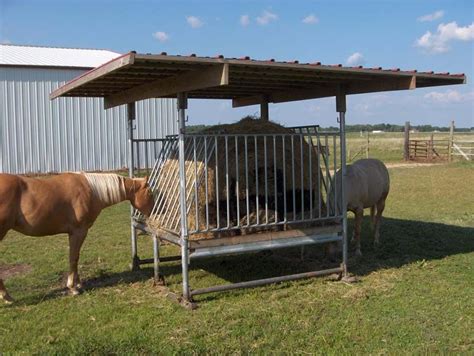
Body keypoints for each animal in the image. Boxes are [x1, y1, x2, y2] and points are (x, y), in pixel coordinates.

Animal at [0, 172, 154, 304]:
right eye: (150, 193)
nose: (154, 213)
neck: (91, 190)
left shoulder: (75, 233)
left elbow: (76, 256)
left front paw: (78, 283)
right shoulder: (79, 231)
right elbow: (73, 257)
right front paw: (72, 287)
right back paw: (7, 296)